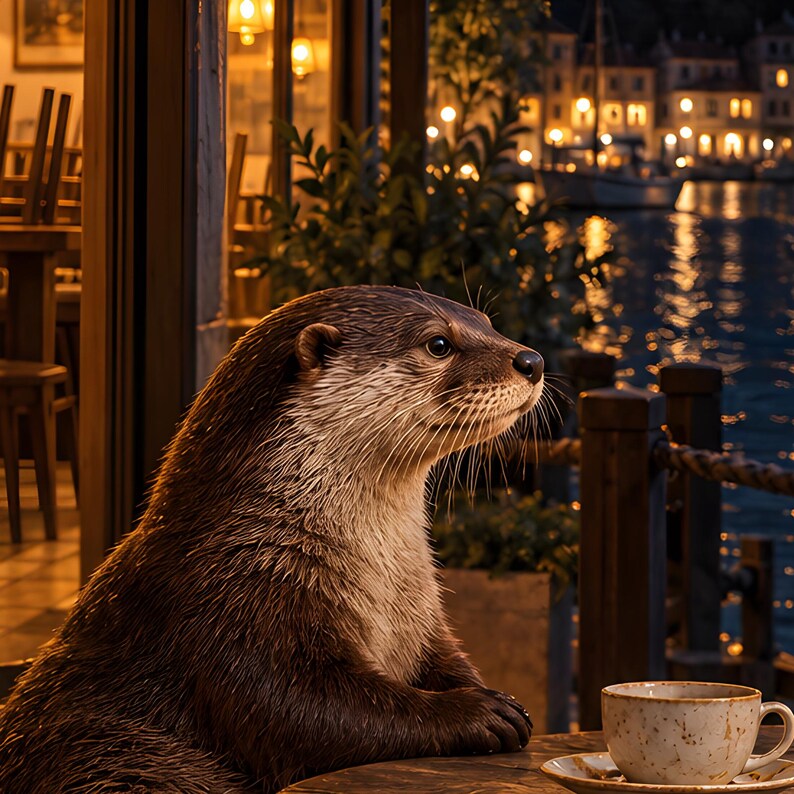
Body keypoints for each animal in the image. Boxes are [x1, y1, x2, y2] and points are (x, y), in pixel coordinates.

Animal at [0, 285, 544, 793]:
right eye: (438, 343)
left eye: (488, 322)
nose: (532, 360)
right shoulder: (227, 600)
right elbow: (292, 711)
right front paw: (478, 711)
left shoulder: (423, 618)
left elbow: (443, 658)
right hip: (118, 760)